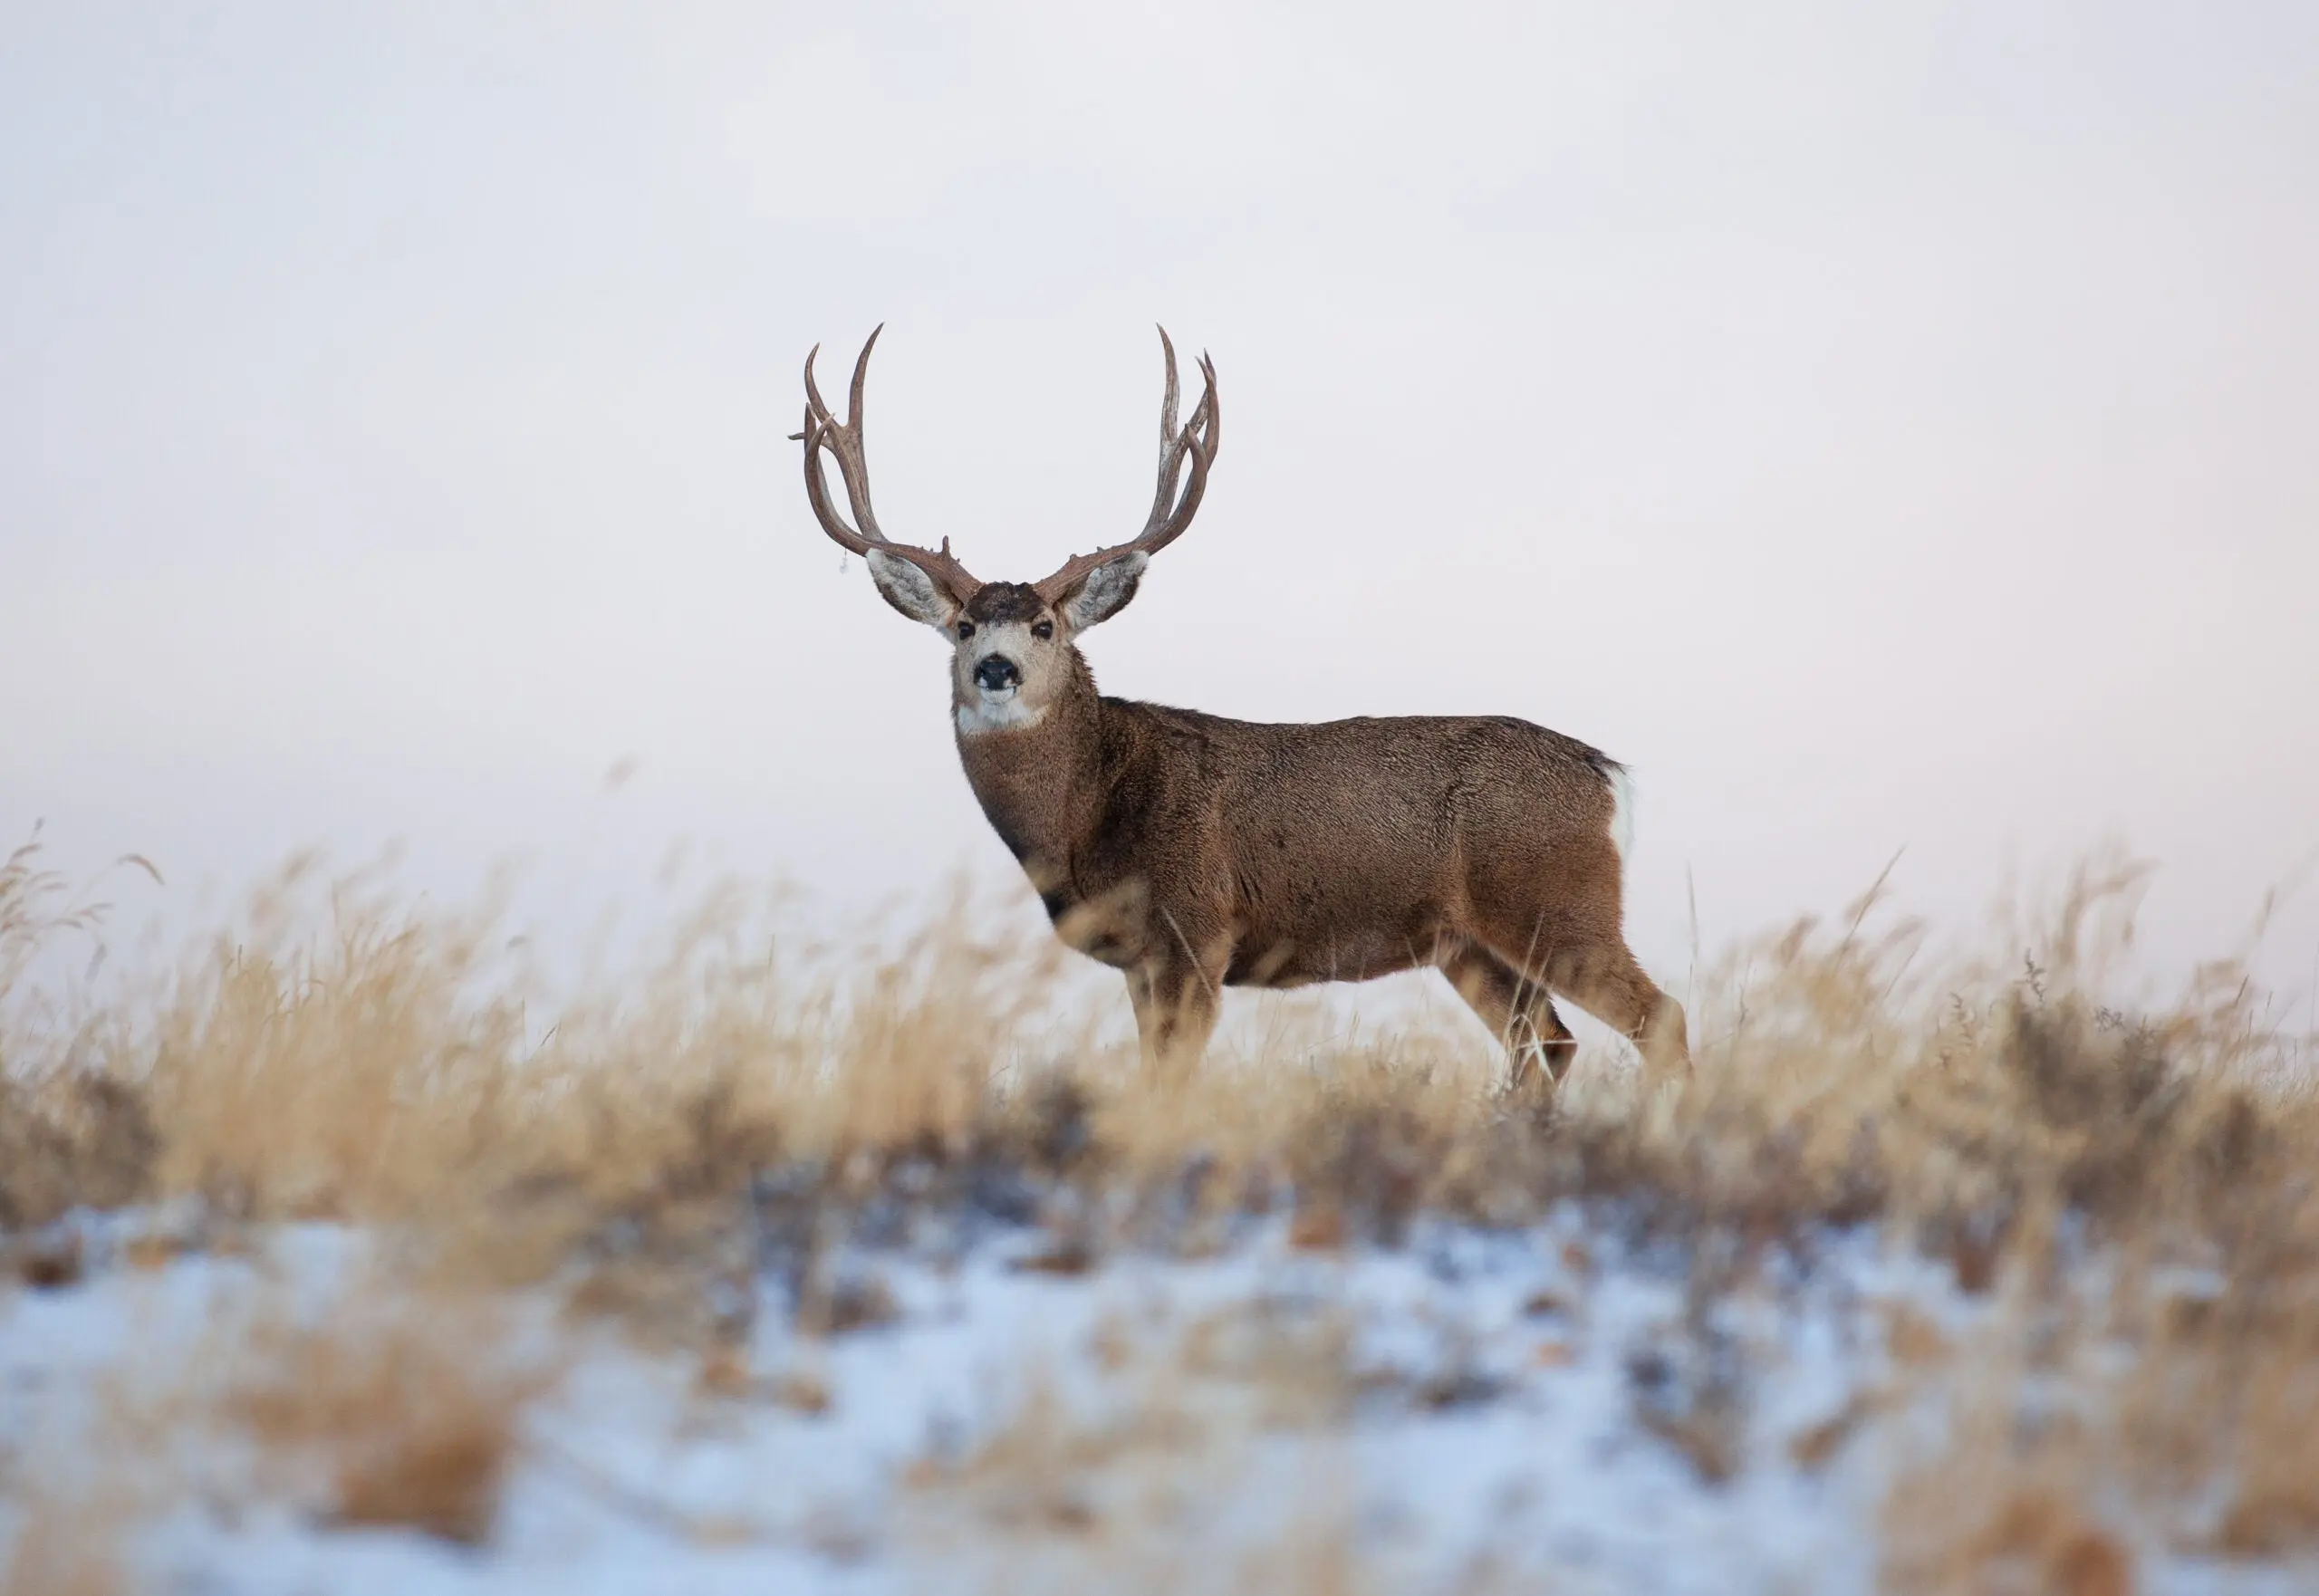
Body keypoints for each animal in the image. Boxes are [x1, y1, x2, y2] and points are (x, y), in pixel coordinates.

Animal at [793, 324, 1688, 1094]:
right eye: (964, 626)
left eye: (1045, 625)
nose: (997, 669)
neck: (1090, 812)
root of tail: (1608, 775)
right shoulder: (1142, 962)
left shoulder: (1198, 932)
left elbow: (1169, 1082)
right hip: (1468, 944)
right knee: (1550, 1045)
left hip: (1558, 902)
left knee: (1659, 1019)